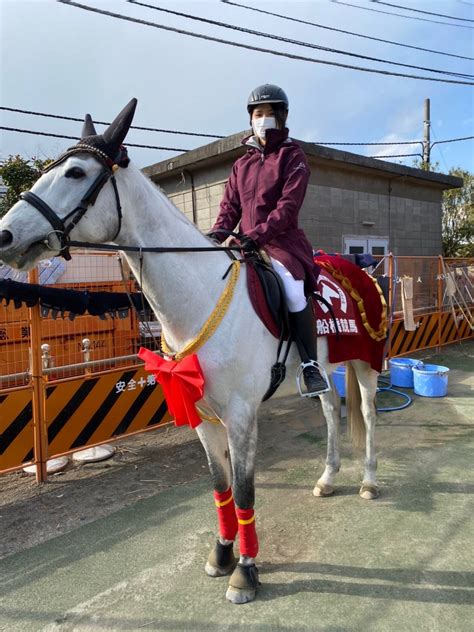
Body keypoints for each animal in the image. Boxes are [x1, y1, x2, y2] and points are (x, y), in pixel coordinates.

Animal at [0, 101, 378, 604]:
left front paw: (246, 572)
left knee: (369, 415)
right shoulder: (201, 414)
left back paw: (369, 482)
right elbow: (220, 487)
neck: (199, 295)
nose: (4, 235)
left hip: (367, 363)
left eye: (76, 173)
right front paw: (222, 555)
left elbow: (245, 492)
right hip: (326, 368)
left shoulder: (240, 416)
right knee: (332, 410)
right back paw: (328, 479)